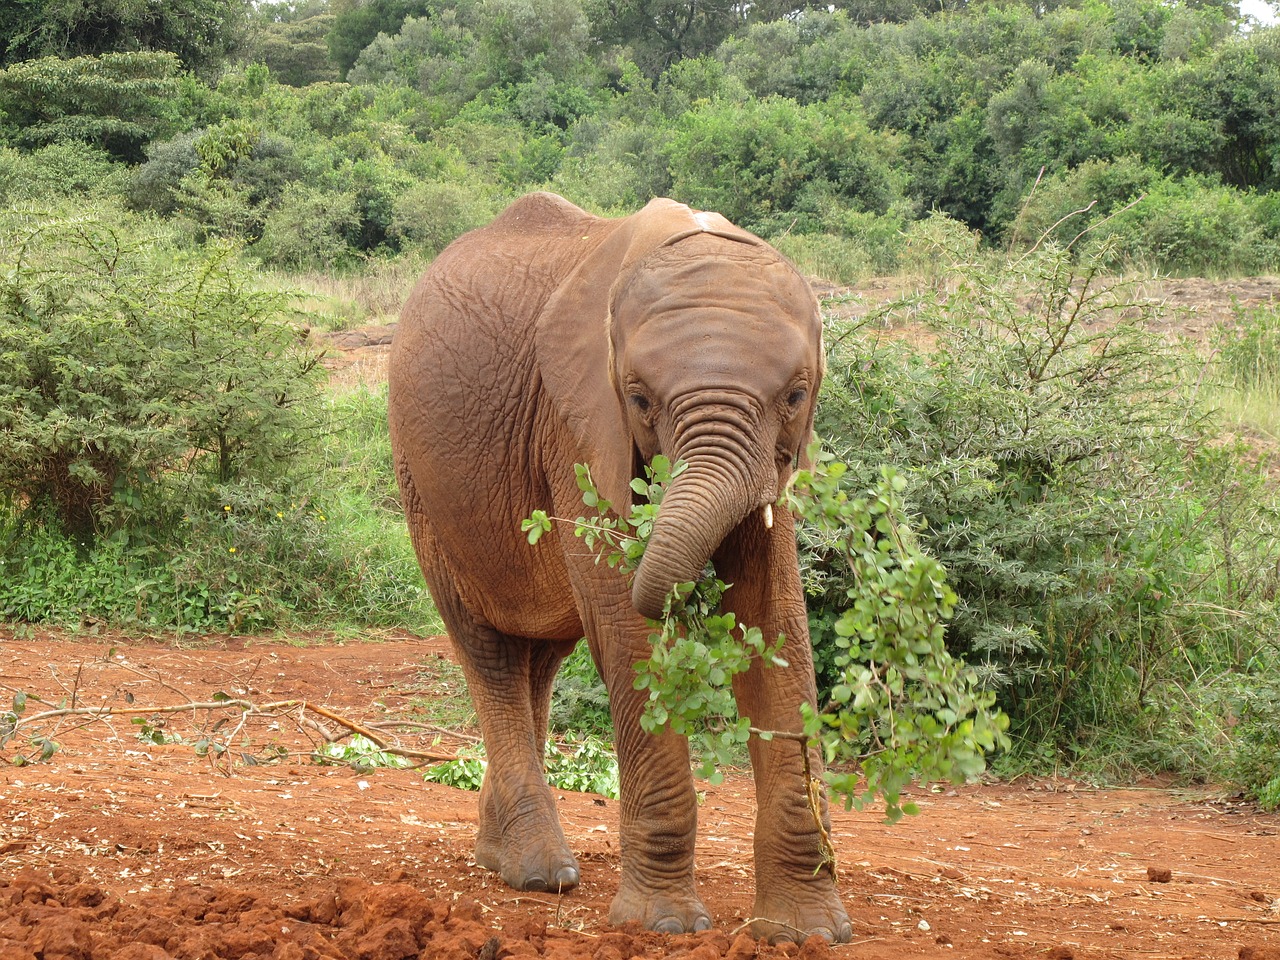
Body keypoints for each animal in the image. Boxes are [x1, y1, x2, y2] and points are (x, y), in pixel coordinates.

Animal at [389, 192, 849, 942]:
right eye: (638, 399)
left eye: (795, 394)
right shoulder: (574, 424)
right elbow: (625, 627)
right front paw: (663, 926)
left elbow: (777, 622)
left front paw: (804, 933)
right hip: (424, 487)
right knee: (489, 650)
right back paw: (538, 871)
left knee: (540, 656)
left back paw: (500, 855)